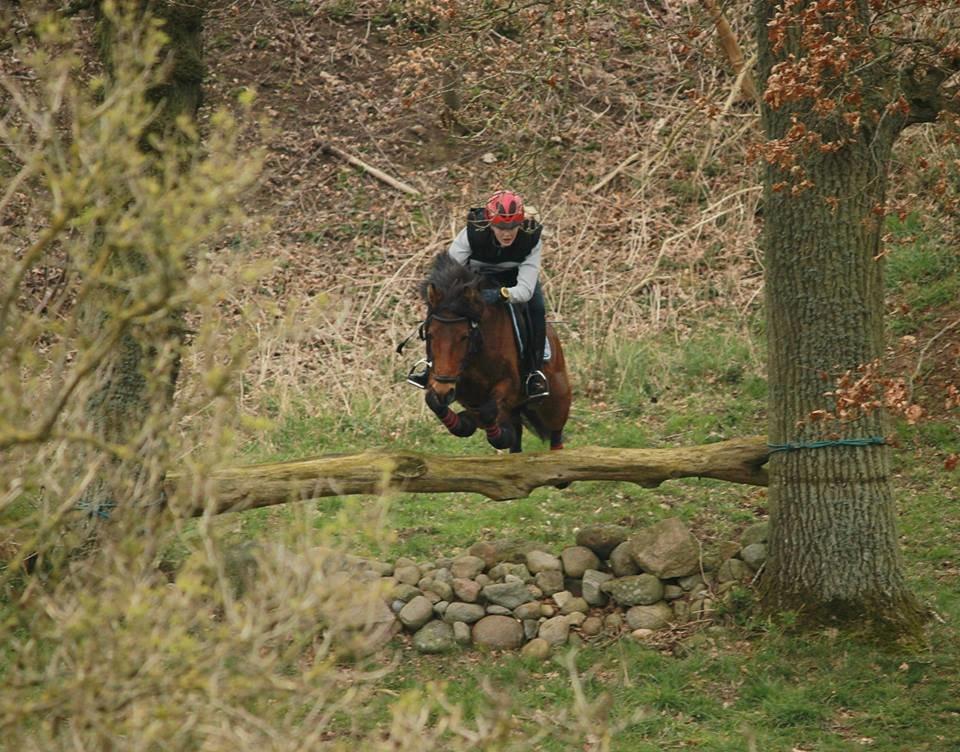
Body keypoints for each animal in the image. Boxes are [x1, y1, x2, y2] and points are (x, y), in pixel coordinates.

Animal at [414, 253, 568, 452]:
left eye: (464, 336)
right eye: (430, 334)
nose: (443, 391)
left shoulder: (509, 383)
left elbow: (488, 412)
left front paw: (497, 433)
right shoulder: (447, 380)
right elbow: (434, 401)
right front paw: (464, 421)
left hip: (556, 402)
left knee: (556, 433)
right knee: (516, 434)